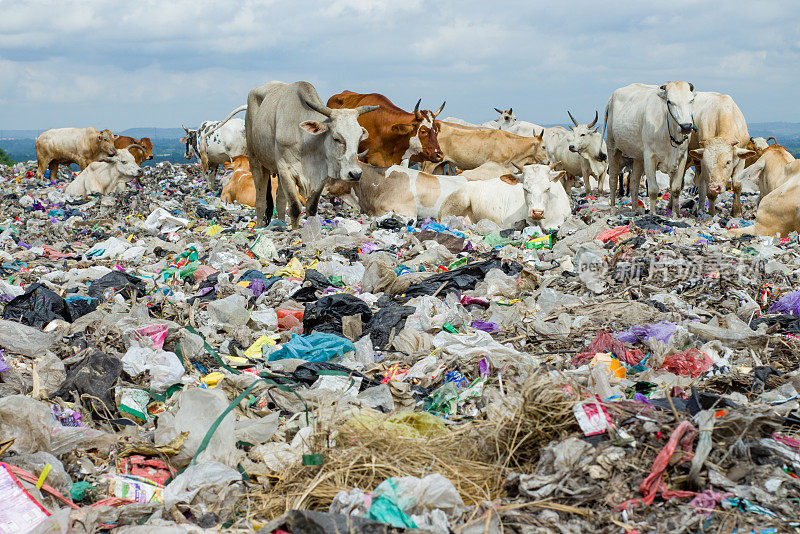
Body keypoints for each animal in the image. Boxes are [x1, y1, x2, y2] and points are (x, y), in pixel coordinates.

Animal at [604, 81, 696, 214]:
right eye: (669, 101)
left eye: (691, 100)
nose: (686, 126)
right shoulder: (649, 157)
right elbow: (653, 190)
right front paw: (652, 214)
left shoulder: (682, 157)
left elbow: (676, 188)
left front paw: (674, 214)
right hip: (612, 146)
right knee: (613, 179)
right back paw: (612, 209)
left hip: (638, 157)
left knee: (634, 182)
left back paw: (635, 209)